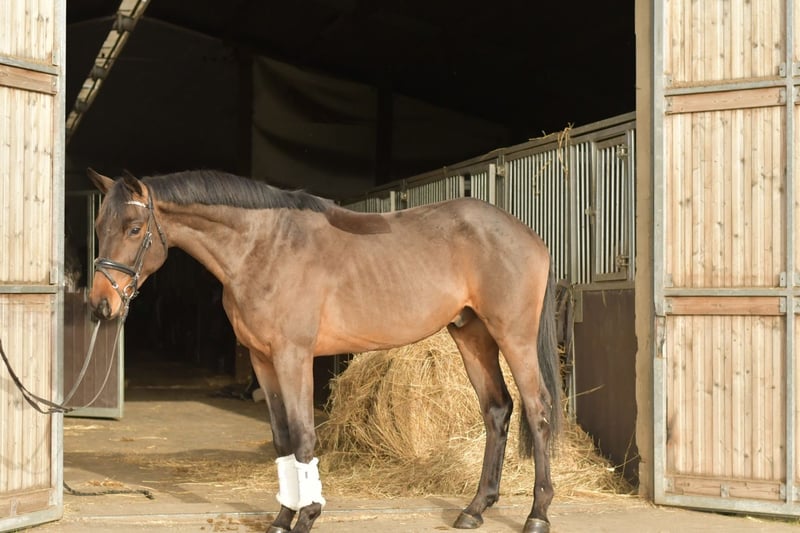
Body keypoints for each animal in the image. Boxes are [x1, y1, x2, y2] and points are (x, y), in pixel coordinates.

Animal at [86, 168, 562, 533]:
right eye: (98, 229)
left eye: (134, 229)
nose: (100, 304)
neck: (265, 248)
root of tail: (531, 236)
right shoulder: (262, 359)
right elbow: (281, 438)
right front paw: (283, 517)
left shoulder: (292, 356)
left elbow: (302, 436)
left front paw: (308, 515)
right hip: (471, 335)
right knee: (497, 409)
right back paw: (474, 509)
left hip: (513, 336)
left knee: (537, 409)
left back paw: (537, 515)